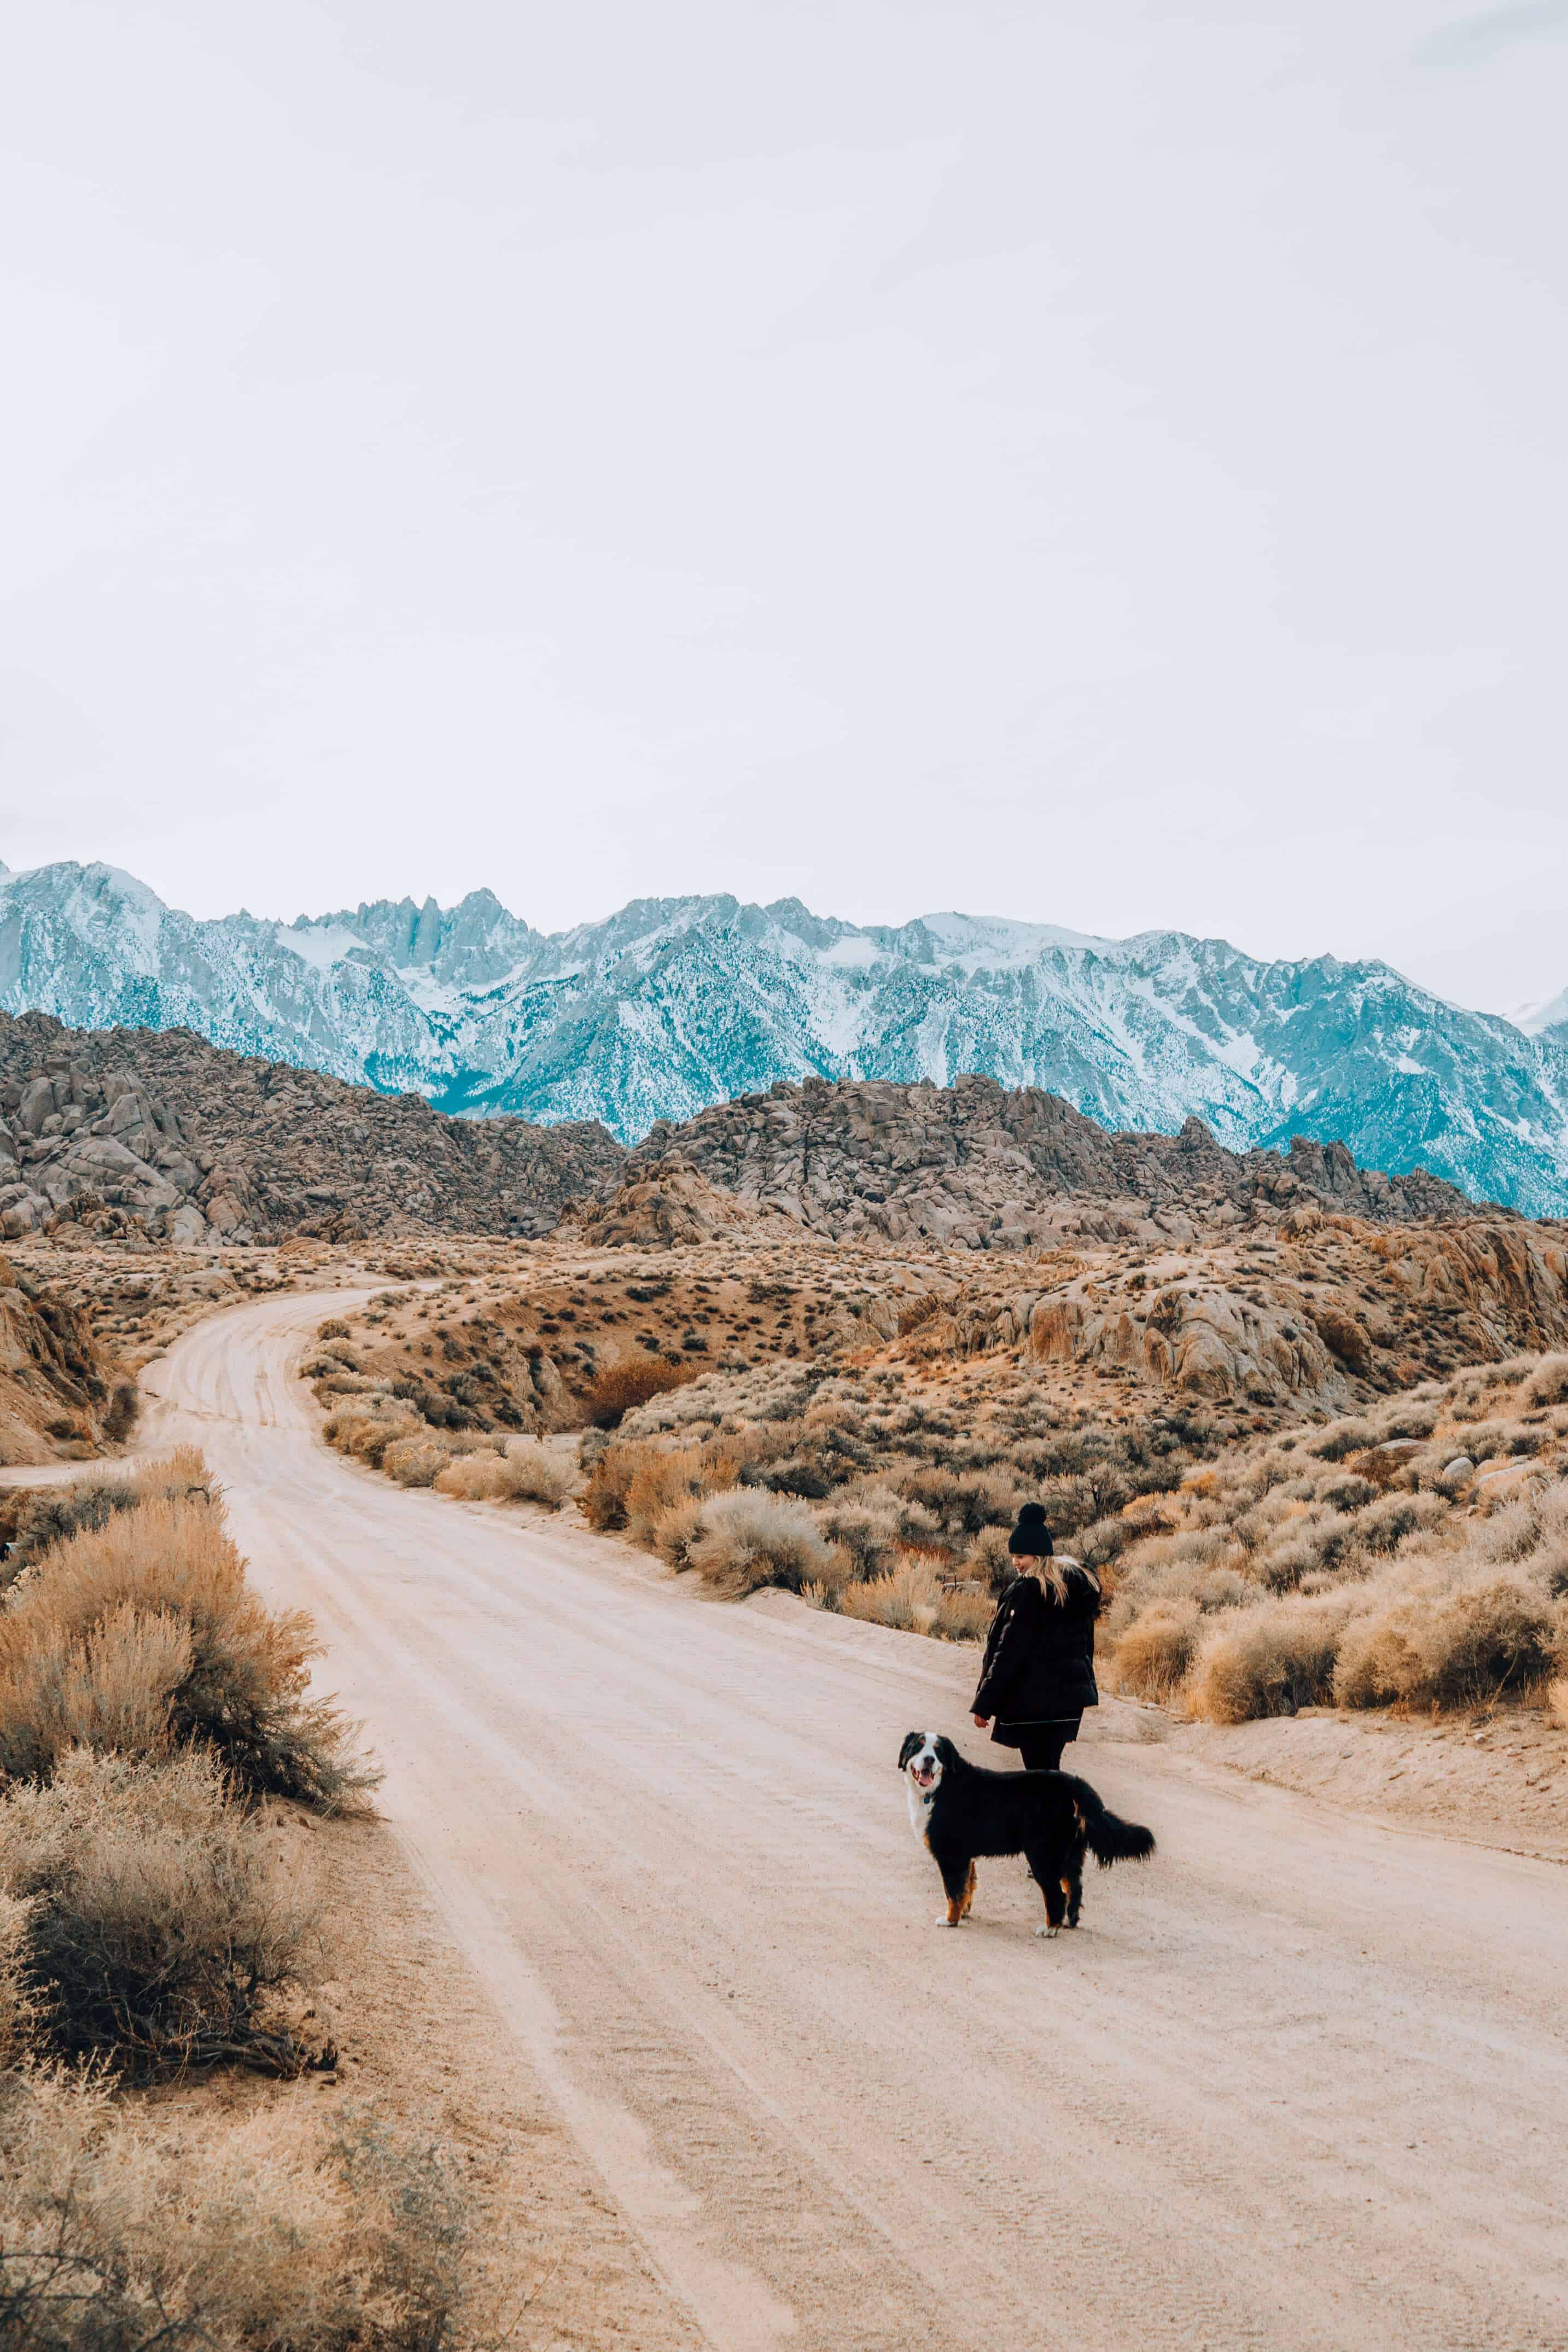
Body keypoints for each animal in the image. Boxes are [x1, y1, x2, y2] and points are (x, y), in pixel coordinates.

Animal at [893, 1731, 1152, 1929]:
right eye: (918, 1747)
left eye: (938, 1752)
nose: (928, 1760)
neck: (940, 1788)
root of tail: (1074, 1784)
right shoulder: (966, 1856)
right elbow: (968, 1886)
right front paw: (964, 1912)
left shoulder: (951, 1855)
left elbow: (954, 1891)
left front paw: (951, 1920)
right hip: (1070, 1854)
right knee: (1074, 1888)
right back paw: (1069, 1922)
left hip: (1043, 1854)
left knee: (1056, 1893)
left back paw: (1050, 1928)